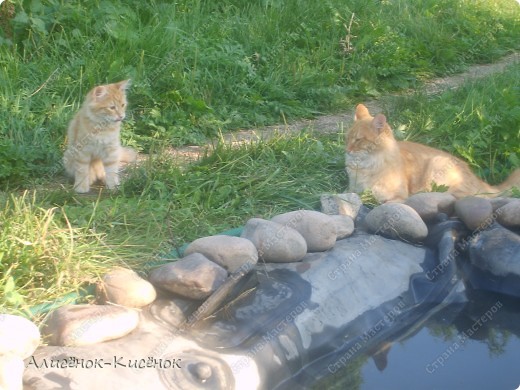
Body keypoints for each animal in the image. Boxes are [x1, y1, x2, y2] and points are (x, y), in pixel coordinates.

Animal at [346, 103, 520, 204]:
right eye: (346, 138)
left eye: (358, 140)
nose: (347, 150)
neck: (364, 167)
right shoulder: (353, 190)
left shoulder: (395, 198)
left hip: (438, 169)